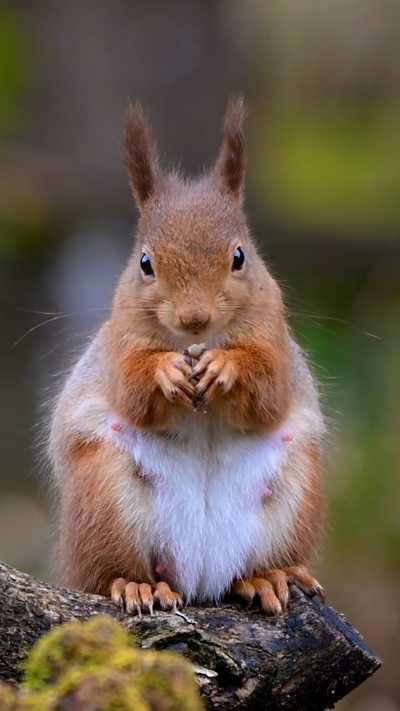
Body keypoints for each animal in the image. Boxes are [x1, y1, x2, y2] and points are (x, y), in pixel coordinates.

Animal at [49, 97, 325, 616]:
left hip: (294, 498)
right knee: (106, 574)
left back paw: (267, 577)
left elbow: (268, 391)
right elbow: (133, 390)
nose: (194, 318)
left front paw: (225, 367)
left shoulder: (275, 339)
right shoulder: (119, 344)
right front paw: (167, 372)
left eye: (240, 256)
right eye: (144, 262)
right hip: (103, 498)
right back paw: (138, 587)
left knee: (254, 567)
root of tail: (200, 576)